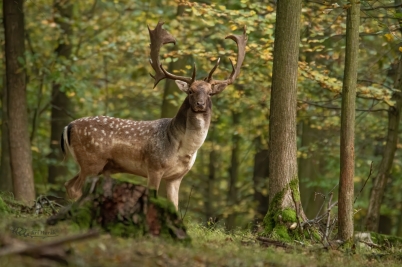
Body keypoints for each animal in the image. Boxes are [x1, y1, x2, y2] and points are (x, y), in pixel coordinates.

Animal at [60, 22, 247, 211]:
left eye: (210, 93)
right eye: (190, 91)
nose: (200, 104)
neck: (184, 149)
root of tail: (68, 126)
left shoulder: (176, 177)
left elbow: (175, 207)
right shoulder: (154, 167)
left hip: (94, 165)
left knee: (68, 184)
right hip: (91, 160)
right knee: (74, 187)